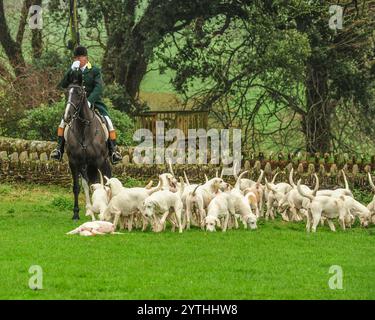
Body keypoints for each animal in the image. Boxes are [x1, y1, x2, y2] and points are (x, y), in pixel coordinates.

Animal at [64, 82, 111, 220]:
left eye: (79, 94)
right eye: (66, 93)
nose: (67, 116)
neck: (83, 129)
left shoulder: (99, 161)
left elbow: (100, 184)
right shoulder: (74, 162)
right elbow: (77, 187)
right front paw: (76, 213)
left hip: (101, 163)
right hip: (86, 166)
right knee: (87, 184)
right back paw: (89, 209)